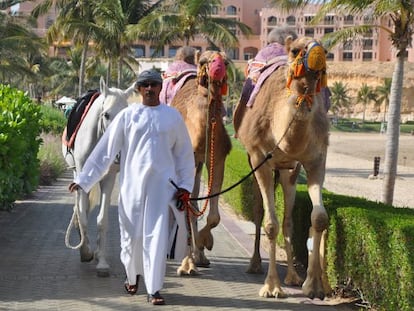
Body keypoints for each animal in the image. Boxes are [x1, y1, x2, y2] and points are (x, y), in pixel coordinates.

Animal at [63, 78, 135, 278]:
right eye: (107, 115)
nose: (119, 152)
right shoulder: (81, 177)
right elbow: (82, 215)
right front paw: (85, 251)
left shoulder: (108, 179)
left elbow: (102, 220)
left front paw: (101, 261)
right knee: (81, 209)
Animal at [169, 50, 233, 274]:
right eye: (205, 61)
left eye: (225, 61)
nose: (217, 67)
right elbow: (186, 208)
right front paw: (186, 265)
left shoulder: (218, 158)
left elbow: (213, 215)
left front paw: (205, 242)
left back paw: (200, 256)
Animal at [234, 36, 332, 300]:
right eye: (296, 50)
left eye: (326, 50)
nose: (317, 54)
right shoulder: (259, 157)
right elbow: (270, 223)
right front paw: (271, 287)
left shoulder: (316, 159)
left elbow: (319, 218)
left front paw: (314, 286)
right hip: (253, 161)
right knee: (259, 211)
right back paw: (255, 264)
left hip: (289, 170)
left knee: (288, 219)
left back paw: (293, 276)